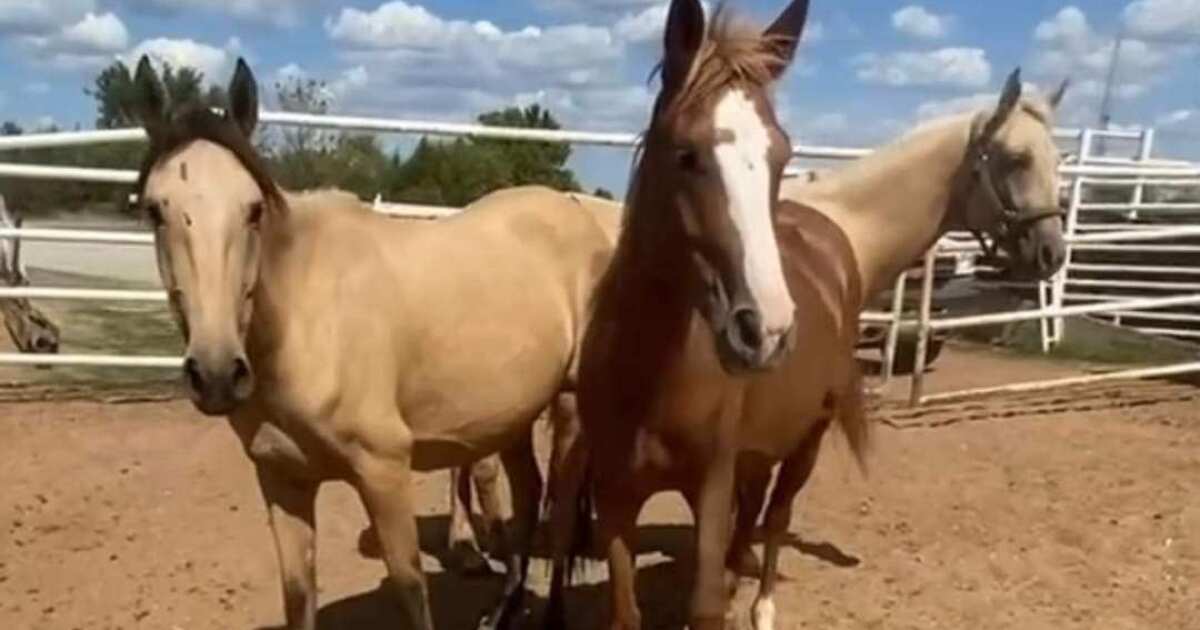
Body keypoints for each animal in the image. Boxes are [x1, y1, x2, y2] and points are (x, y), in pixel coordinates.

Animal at [127, 56, 619, 630]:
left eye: (253, 209)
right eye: (155, 210)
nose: (217, 375)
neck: (302, 323)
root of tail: (585, 218)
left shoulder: (383, 471)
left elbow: (410, 591)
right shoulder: (281, 479)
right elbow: (298, 595)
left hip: (571, 408)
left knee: (559, 515)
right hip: (512, 414)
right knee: (528, 490)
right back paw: (502, 610)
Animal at [542, 2, 816, 629]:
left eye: (781, 156)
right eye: (686, 155)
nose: (767, 331)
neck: (653, 376)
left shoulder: (711, 485)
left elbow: (706, 602)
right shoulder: (617, 495)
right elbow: (625, 610)